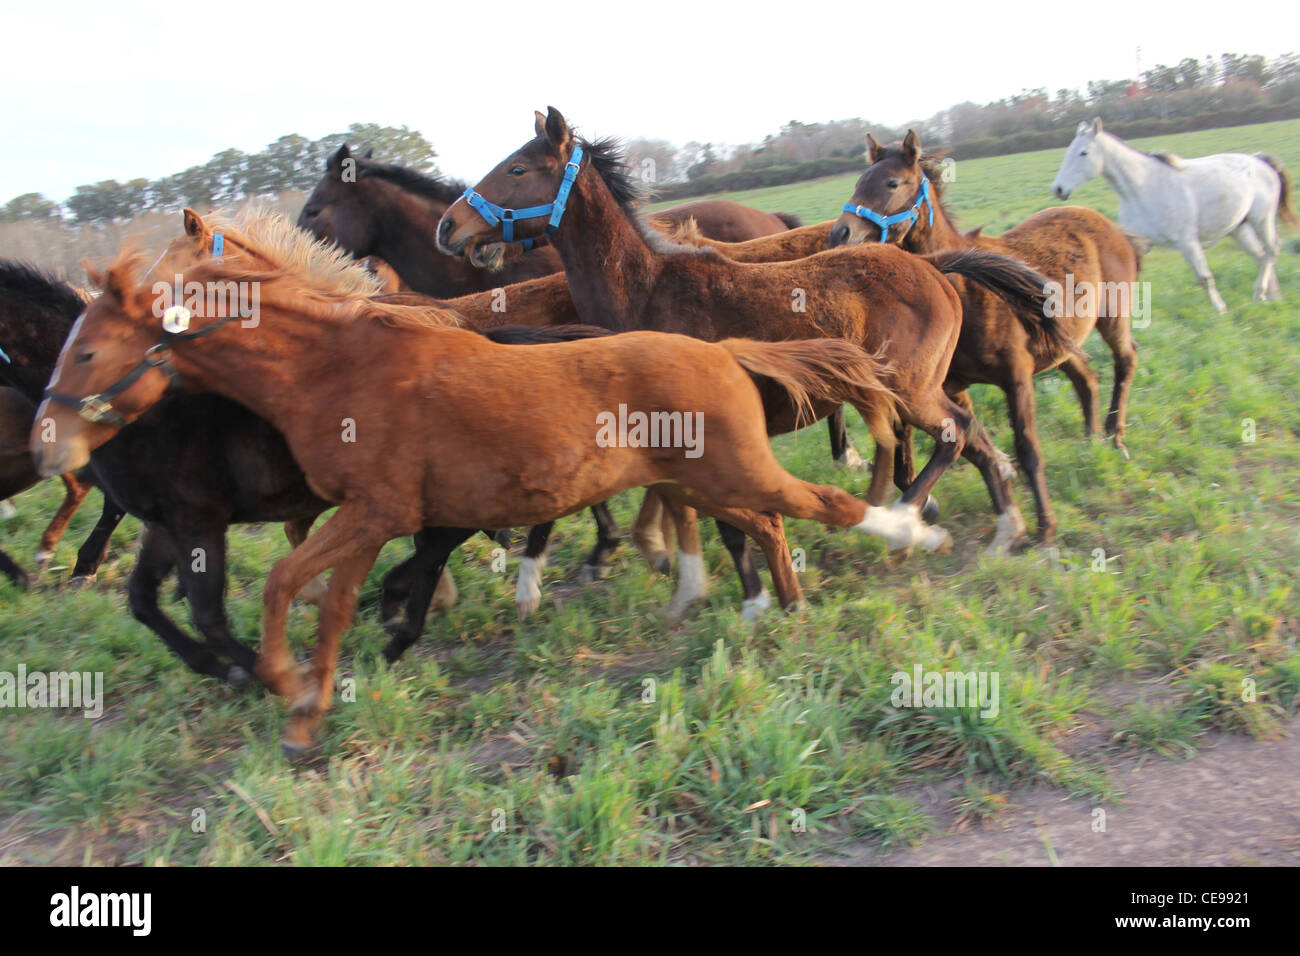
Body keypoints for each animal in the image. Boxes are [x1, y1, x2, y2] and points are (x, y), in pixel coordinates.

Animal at [35, 240, 930, 754]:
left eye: (86, 353)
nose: (49, 445)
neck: (335, 368)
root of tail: (727, 352)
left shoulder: (378, 513)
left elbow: (290, 586)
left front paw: (284, 686)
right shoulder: (371, 519)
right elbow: (331, 598)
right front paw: (307, 707)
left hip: (729, 471)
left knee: (819, 505)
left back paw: (914, 536)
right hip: (699, 479)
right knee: (763, 523)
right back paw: (773, 603)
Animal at [439, 108, 1076, 572]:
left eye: (518, 169)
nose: (449, 225)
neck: (647, 288)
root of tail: (936, 268)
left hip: (912, 389)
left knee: (957, 434)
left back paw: (906, 521)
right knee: (976, 441)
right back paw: (1004, 530)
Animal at [826, 130, 1144, 541]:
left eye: (892, 183)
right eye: (858, 182)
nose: (840, 232)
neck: (968, 287)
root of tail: (1109, 225)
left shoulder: (1017, 378)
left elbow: (1026, 448)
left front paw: (1044, 529)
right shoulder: (951, 385)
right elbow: (972, 442)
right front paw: (1003, 511)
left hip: (1113, 317)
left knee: (1125, 361)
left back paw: (1115, 438)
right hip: (1061, 342)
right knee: (1086, 378)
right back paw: (1092, 443)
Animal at [1050, 118, 1294, 314]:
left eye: (1084, 152)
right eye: (1067, 151)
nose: (1058, 189)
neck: (1143, 188)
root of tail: (1260, 160)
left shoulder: (1188, 241)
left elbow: (1205, 278)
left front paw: (1220, 309)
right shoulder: (1141, 243)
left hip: (1261, 220)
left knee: (1272, 250)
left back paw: (1261, 293)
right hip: (1239, 229)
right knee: (1261, 256)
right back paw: (1269, 297)